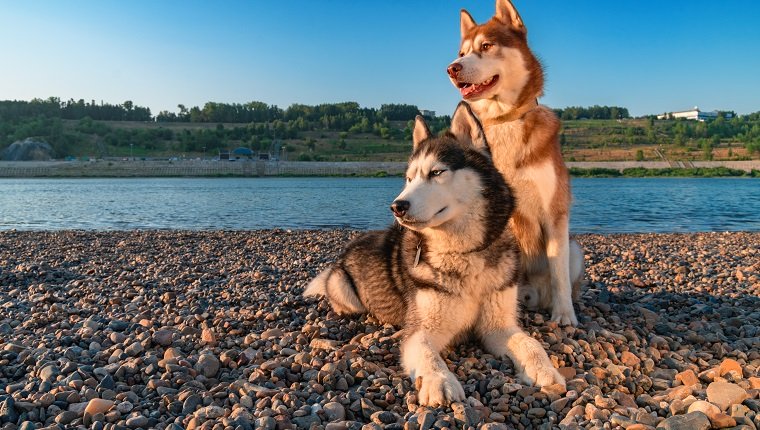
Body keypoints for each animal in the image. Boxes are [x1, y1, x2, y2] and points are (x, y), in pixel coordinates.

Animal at [304, 103, 564, 406]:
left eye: (436, 173)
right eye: (409, 178)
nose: (397, 206)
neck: (464, 252)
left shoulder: (499, 326)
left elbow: (531, 344)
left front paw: (545, 370)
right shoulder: (422, 330)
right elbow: (428, 354)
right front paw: (439, 380)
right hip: (343, 290)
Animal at [448, 0, 584, 324]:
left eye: (486, 46)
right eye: (461, 52)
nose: (452, 68)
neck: (503, 119)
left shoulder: (554, 213)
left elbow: (559, 273)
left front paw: (564, 315)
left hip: (575, 248)